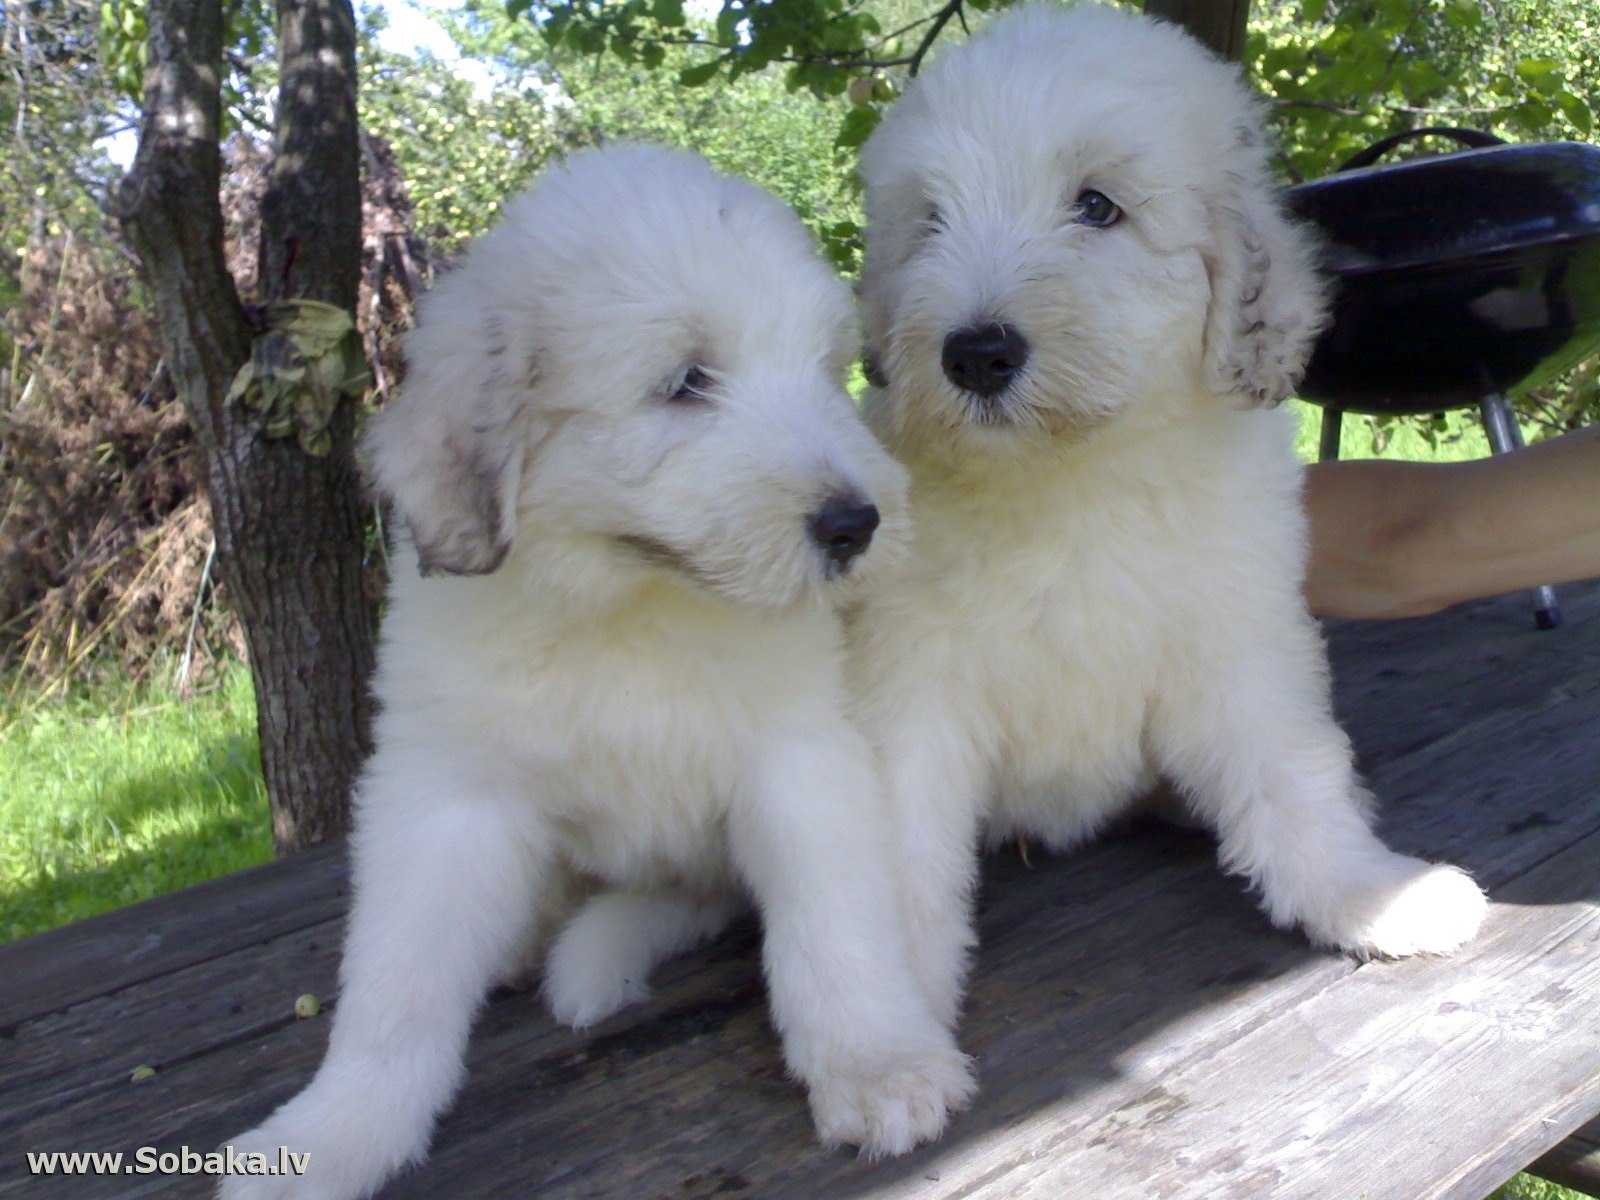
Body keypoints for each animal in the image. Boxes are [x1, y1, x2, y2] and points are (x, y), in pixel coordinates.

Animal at [222, 143, 972, 1200]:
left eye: (828, 372)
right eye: (686, 381)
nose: (855, 523)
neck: (631, 604)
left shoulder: (804, 762)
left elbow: (838, 931)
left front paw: (879, 1067)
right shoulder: (444, 795)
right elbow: (396, 985)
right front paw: (332, 1137)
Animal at [857, 2, 1491, 1036]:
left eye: (1097, 207)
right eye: (932, 220)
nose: (975, 353)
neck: (1073, 476)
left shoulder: (1238, 630)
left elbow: (1294, 772)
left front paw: (1371, 895)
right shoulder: (908, 682)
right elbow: (900, 853)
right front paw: (886, 1016)